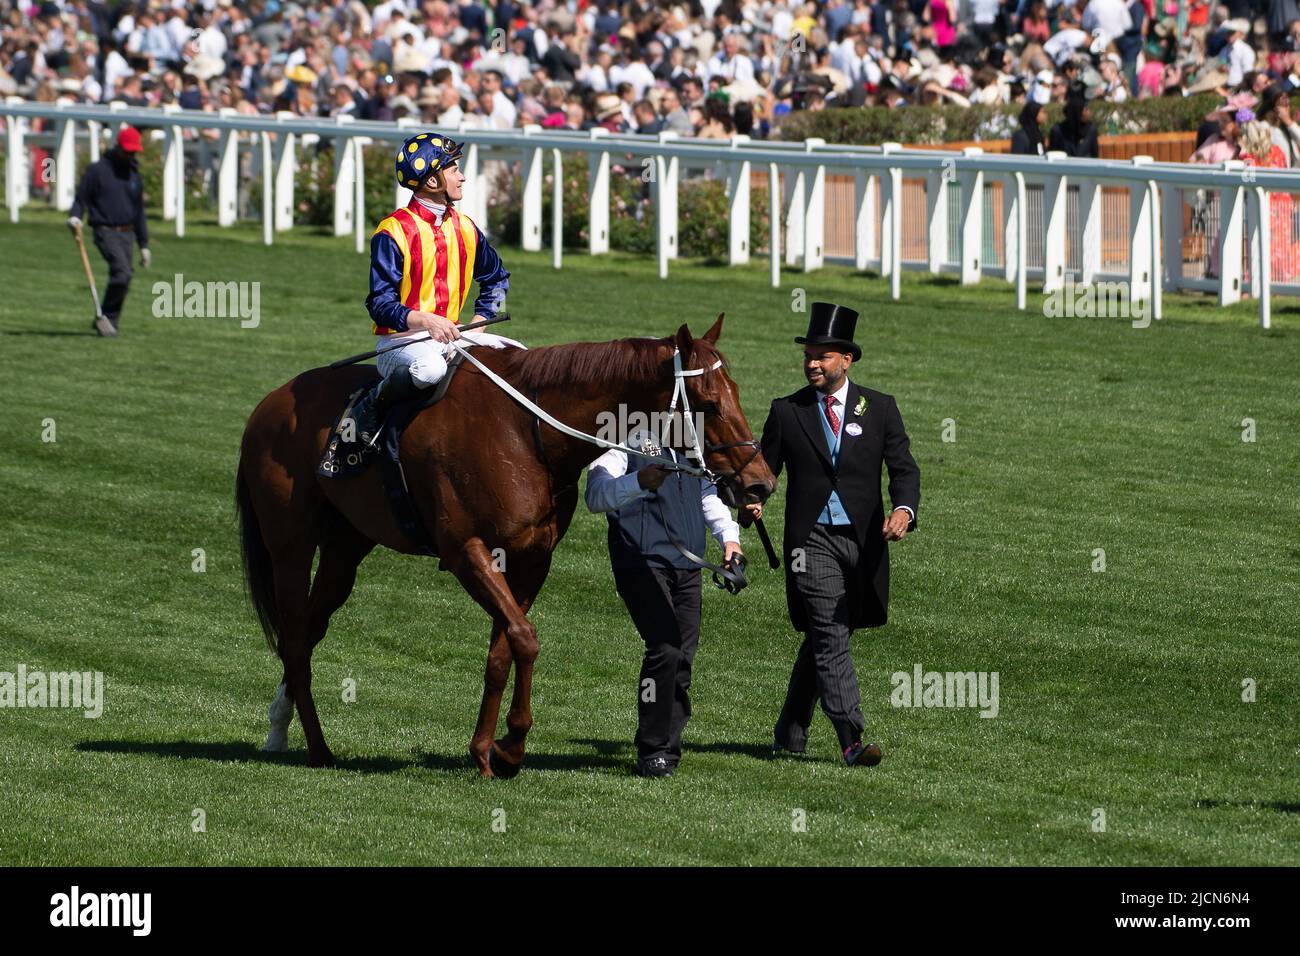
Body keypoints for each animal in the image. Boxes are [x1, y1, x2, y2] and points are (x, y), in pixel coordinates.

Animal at [234, 315, 776, 777]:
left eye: (737, 392)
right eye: (708, 401)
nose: (761, 483)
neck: (524, 433)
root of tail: (270, 402)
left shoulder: (530, 558)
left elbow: (502, 649)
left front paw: (484, 751)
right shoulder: (466, 551)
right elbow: (525, 638)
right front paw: (512, 745)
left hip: (346, 548)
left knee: (309, 629)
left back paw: (280, 725)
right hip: (290, 544)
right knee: (294, 634)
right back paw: (317, 748)